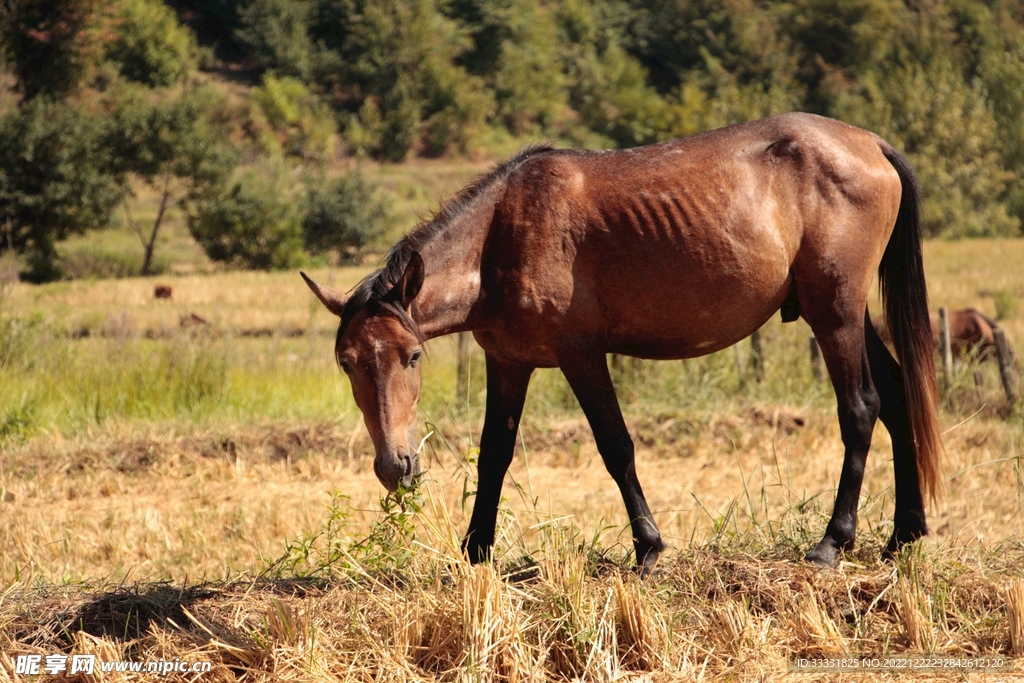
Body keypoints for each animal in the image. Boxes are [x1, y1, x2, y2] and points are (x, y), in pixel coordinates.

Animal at [303, 112, 941, 574]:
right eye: (347, 363)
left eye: (412, 357)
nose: (396, 466)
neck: (502, 236)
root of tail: (871, 144)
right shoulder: (507, 361)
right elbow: (494, 456)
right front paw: (475, 552)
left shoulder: (581, 357)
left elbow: (616, 447)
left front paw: (649, 548)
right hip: (846, 316)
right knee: (897, 398)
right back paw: (904, 534)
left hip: (834, 315)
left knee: (860, 409)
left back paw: (833, 542)